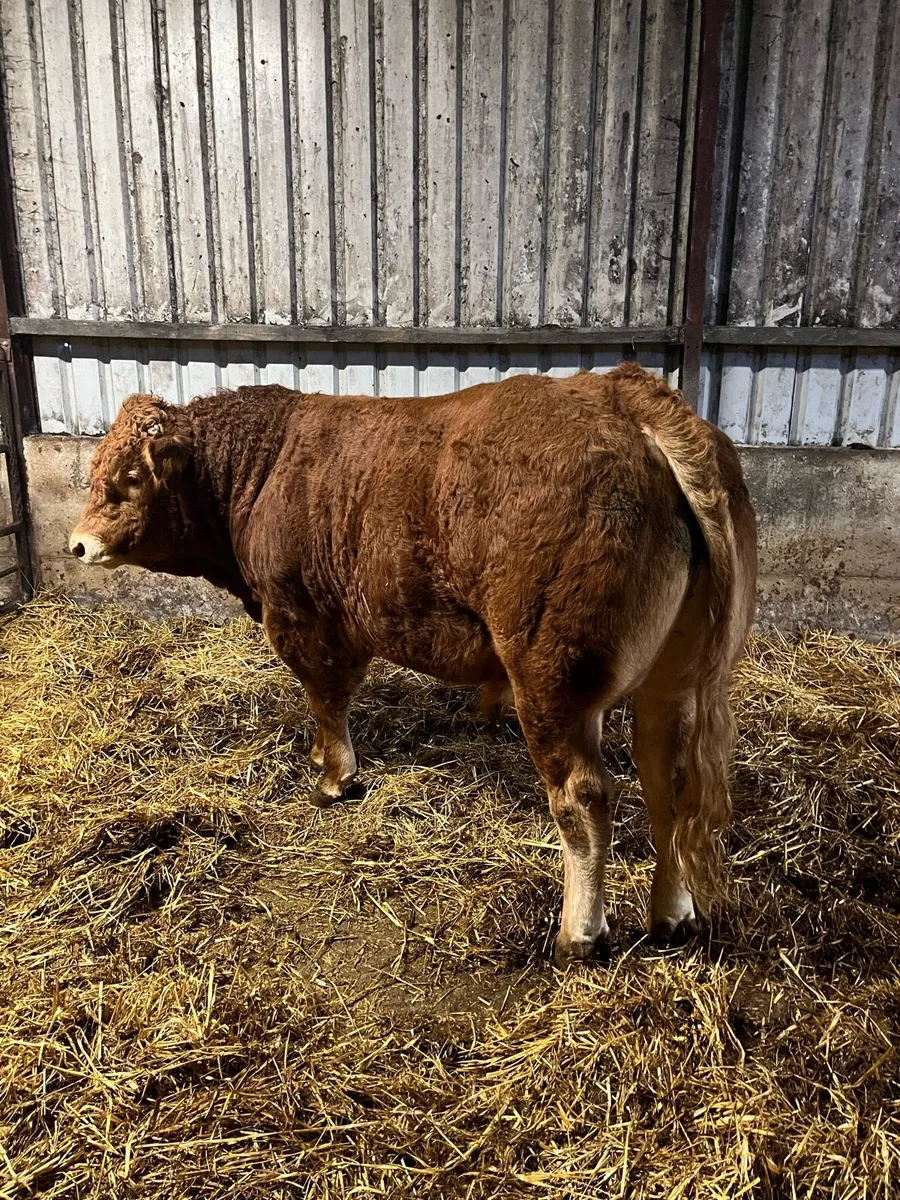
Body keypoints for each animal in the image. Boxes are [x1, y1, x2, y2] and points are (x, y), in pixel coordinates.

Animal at [69, 364, 757, 966]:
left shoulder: (303, 619)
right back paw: (672, 914)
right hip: (672, 677)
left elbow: (327, 699)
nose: (77, 544)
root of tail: (628, 398)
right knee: (668, 784)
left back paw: (579, 935)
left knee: (584, 797)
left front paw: (334, 777)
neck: (265, 469)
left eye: (129, 475)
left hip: (555, 680)